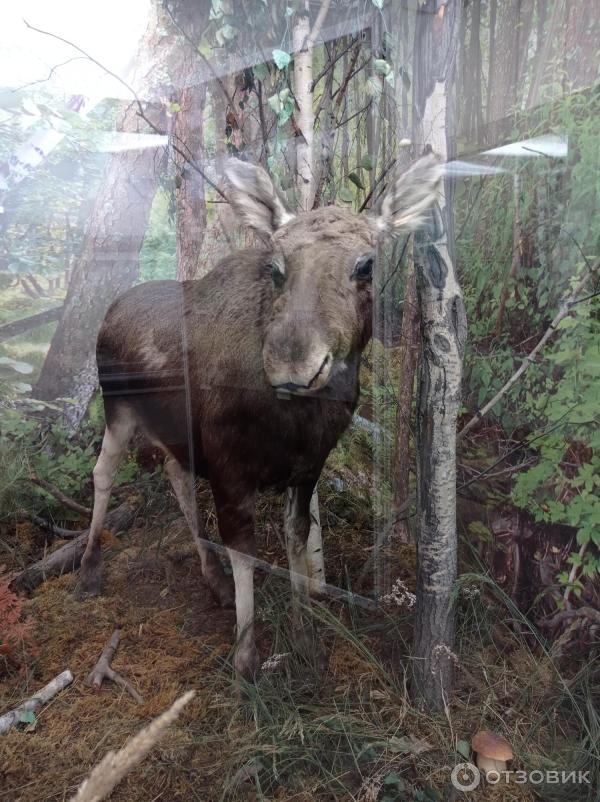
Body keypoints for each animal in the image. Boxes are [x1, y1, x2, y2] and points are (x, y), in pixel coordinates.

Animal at [78, 153, 440, 680]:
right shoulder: (230, 468)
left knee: (175, 475)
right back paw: (88, 566)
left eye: (366, 264)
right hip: (118, 407)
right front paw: (246, 654)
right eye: (275, 266)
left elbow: (296, 542)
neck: (297, 420)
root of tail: (110, 310)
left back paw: (212, 578)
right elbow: (245, 551)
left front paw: (305, 635)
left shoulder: (307, 468)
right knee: (103, 472)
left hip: (175, 430)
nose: (293, 364)